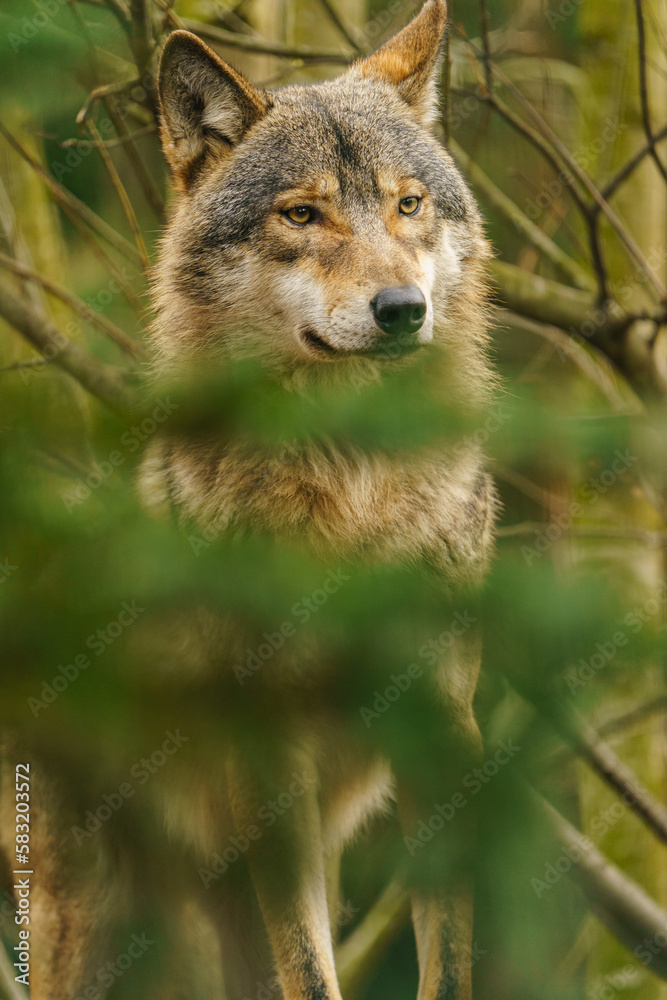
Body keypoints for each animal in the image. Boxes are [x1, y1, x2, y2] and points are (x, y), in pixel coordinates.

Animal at [2, 2, 497, 998]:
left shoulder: (442, 731)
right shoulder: (267, 761)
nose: (401, 309)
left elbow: (450, 965)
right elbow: (305, 969)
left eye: (407, 204)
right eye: (301, 213)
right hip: (87, 916)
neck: (355, 494)